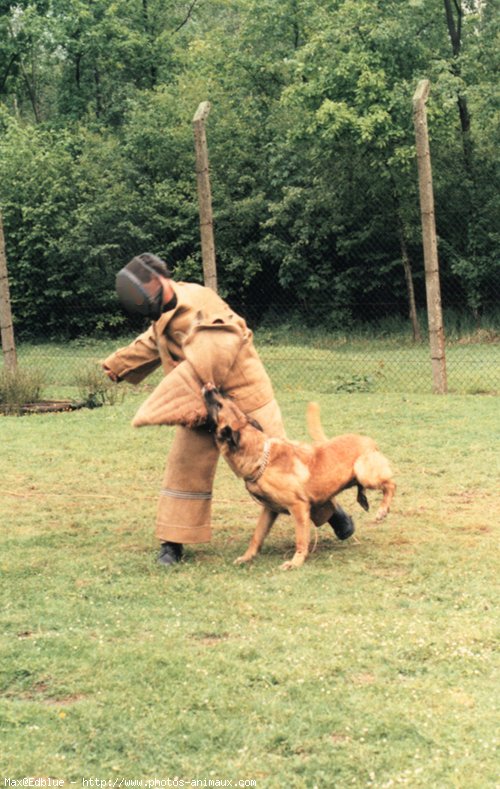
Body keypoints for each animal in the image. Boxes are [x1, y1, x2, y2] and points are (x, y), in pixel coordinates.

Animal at [202, 380, 394, 568]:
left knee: (391, 484)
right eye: (224, 402)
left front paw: (296, 561)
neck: (262, 458)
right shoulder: (269, 510)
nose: (210, 386)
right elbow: (257, 536)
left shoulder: (299, 507)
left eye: (219, 405)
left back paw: (382, 509)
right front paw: (247, 557)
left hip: (364, 473)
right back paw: (363, 499)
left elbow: (301, 539)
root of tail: (368, 440)